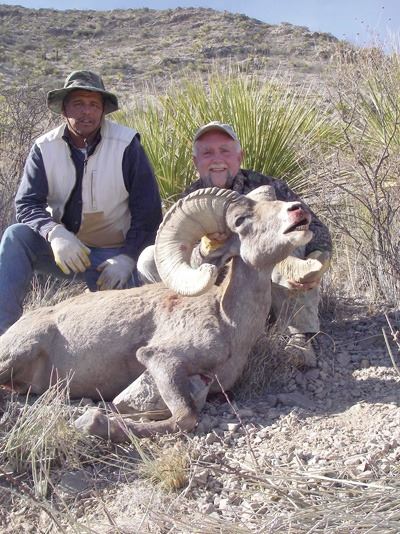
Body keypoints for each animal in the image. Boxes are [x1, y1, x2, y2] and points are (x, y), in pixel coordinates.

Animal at [0, 186, 313, 441]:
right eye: (240, 220)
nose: (297, 210)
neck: (229, 323)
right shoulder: (161, 360)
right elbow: (185, 417)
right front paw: (96, 422)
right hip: (20, 349)